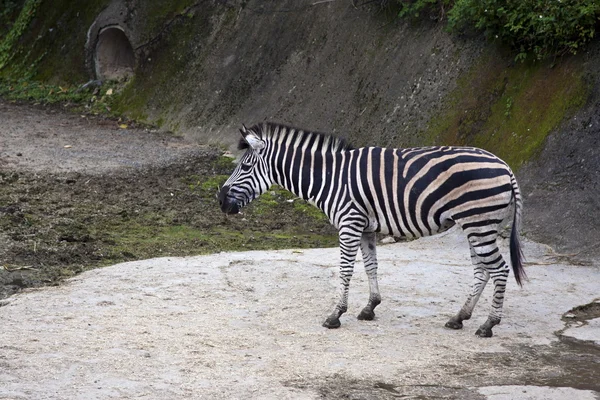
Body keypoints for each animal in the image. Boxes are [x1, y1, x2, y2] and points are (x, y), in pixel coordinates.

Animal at [217, 122, 524, 338]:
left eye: (245, 167)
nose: (220, 201)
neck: (330, 178)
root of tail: (505, 166)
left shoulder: (349, 223)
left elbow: (345, 270)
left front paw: (335, 315)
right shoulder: (365, 228)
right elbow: (371, 266)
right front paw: (370, 307)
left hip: (478, 223)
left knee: (499, 270)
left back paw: (488, 325)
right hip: (476, 224)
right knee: (482, 271)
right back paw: (459, 317)